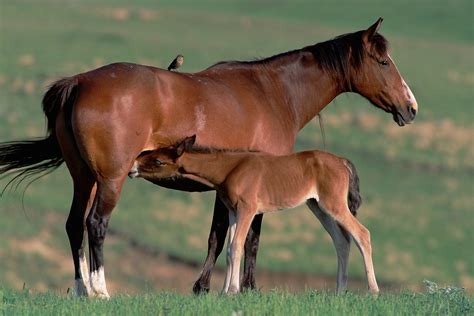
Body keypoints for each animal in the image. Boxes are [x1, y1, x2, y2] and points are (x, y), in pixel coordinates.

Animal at [131, 136, 382, 296]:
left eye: (158, 161)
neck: (229, 168)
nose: (132, 168)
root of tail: (342, 161)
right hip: (318, 206)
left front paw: (232, 291)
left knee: (362, 233)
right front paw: (225, 290)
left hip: (334, 203)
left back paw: (373, 290)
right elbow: (230, 247)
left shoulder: (248, 209)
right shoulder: (233, 211)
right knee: (342, 240)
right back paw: (340, 291)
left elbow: (236, 247)